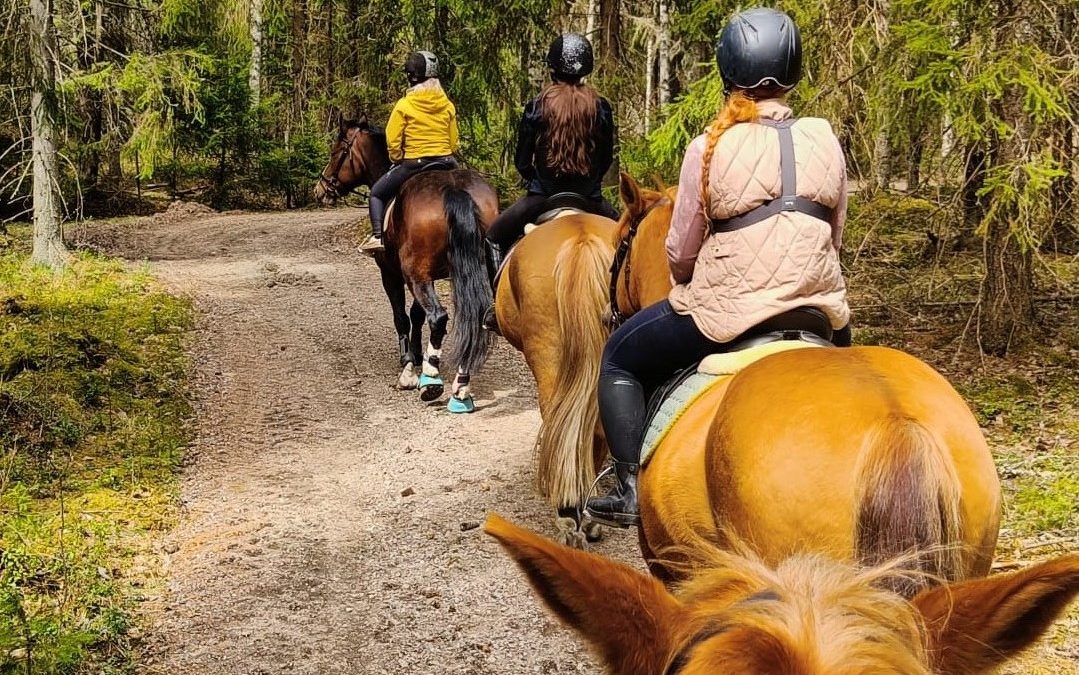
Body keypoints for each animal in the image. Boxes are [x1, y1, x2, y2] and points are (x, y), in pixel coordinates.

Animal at [314, 116, 498, 412]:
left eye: (337, 152)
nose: (320, 189)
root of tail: (454, 190)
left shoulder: (391, 273)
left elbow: (401, 315)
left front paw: (409, 365)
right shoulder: (427, 275)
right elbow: (416, 314)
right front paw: (416, 354)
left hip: (415, 275)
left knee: (438, 317)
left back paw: (431, 381)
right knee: (476, 316)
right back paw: (461, 388)